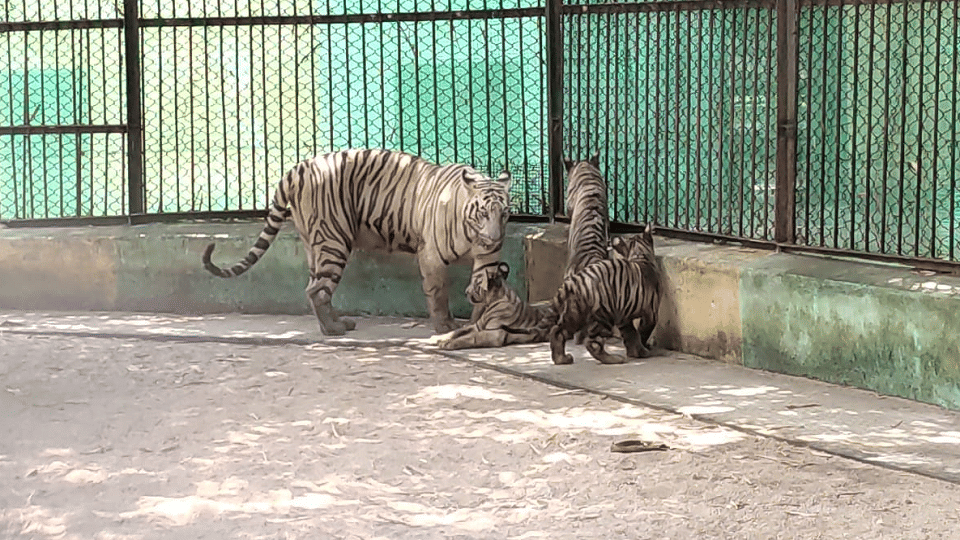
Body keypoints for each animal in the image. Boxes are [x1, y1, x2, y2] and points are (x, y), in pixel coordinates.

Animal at [202, 148, 512, 336]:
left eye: (505, 213)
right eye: (483, 213)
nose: (496, 238)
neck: (471, 231)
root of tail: (297, 168)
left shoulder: (486, 260)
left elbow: (483, 291)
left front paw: (479, 322)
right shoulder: (432, 256)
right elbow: (438, 292)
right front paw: (445, 326)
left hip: (313, 244)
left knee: (314, 286)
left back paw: (336, 324)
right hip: (333, 240)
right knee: (317, 290)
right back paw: (334, 329)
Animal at [549, 224, 661, 365]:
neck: (639, 255)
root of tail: (575, 282)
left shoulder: (623, 316)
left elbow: (631, 334)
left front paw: (635, 352)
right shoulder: (651, 312)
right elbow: (643, 331)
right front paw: (643, 350)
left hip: (575, 313)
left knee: (557, 331)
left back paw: (561, 359)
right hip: (604, 315)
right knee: (592, 343)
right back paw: (613, 359)